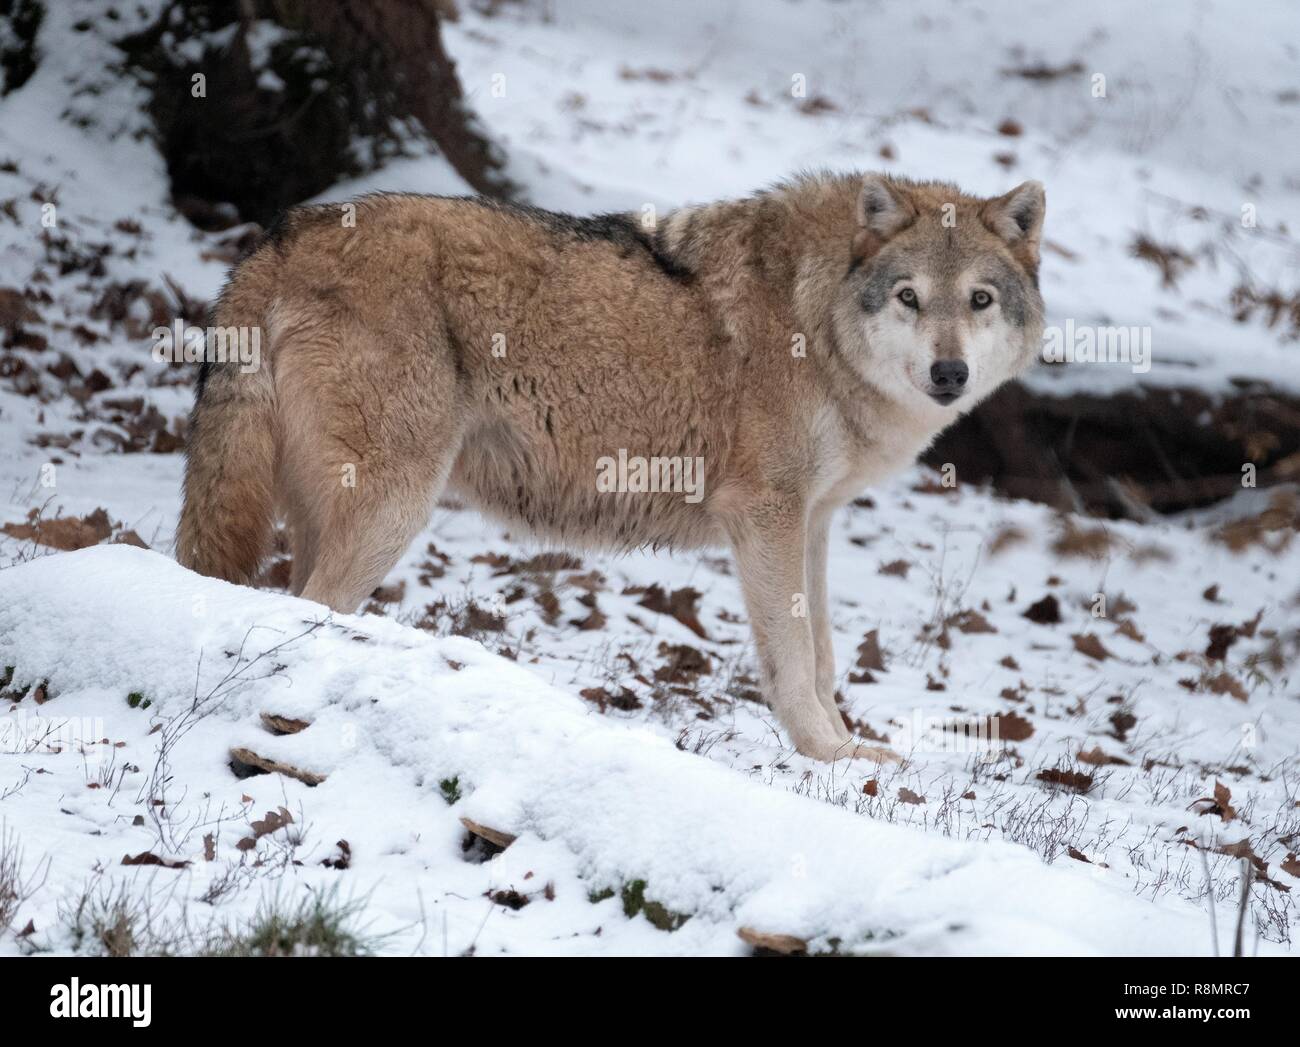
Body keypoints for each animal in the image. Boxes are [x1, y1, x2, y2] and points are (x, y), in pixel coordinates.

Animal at [175, 171, 1045, 759]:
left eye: (978, 300)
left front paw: (849, 750)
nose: (949, 373)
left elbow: (826, 653)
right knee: (306, 606)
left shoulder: (816, 521)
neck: (816, 315)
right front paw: (828, 758)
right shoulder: (765, 516)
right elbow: (795, 659)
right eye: (908, 297)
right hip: (394, 507)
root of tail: (282, 234)